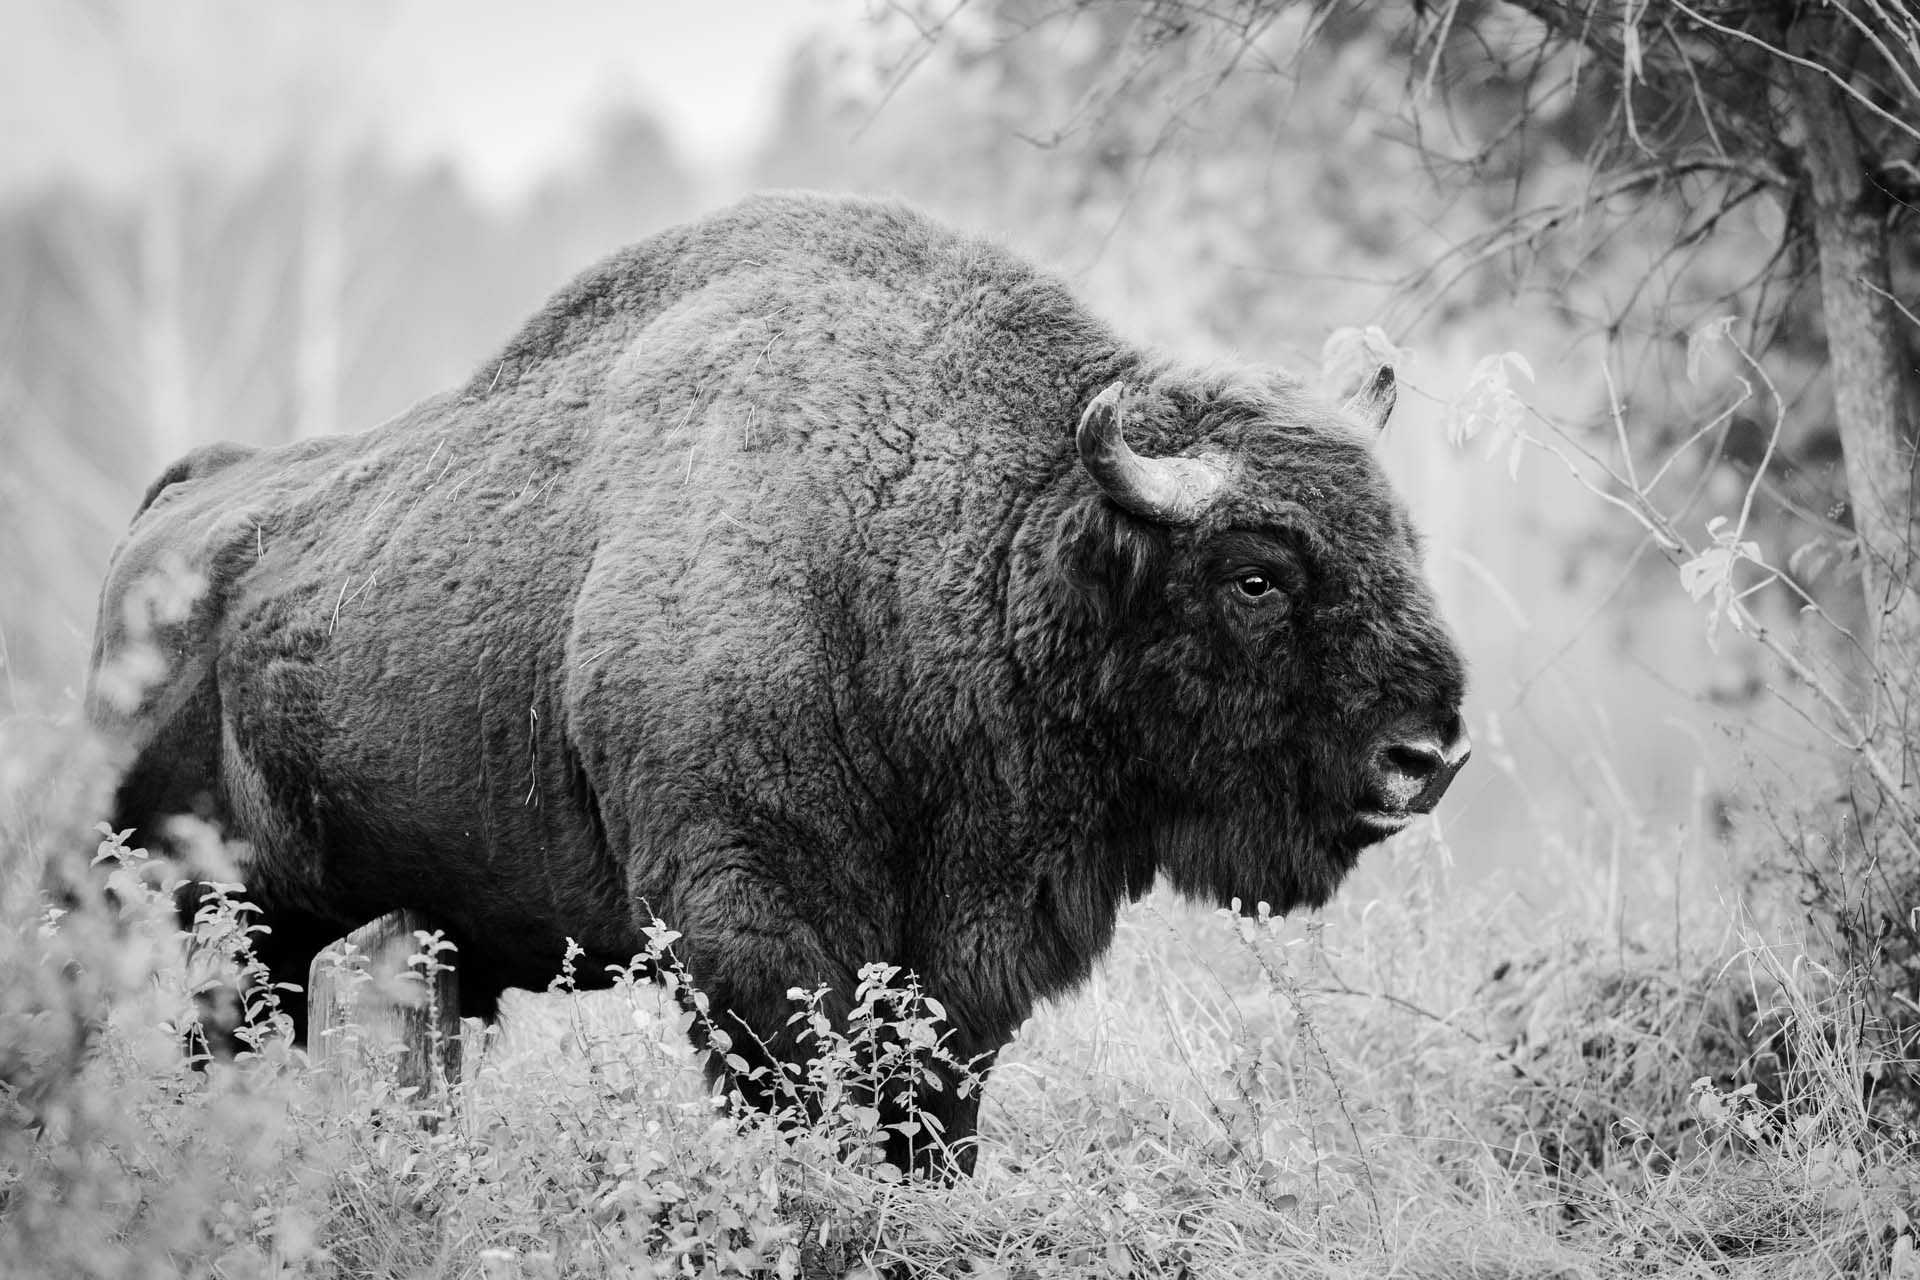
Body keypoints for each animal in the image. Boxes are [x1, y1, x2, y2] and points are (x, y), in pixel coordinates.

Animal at [90, 188, 1466, 1174]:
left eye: (1402, 534)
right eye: (1256, 575)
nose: (1430, 753)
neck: (966, 538)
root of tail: (178, 508)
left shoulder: (961, 965)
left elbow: (932, 1119)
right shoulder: (750, 930)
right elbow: (800, 1099)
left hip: (366, 928)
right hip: (200, 900)